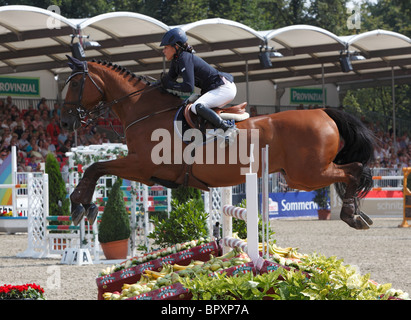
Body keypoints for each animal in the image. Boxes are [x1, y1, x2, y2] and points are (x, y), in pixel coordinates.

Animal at [59, 55, 378, 230]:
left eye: (74, 83)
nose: (64, 122)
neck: (144, 110)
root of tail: (323, 111)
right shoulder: (143, 171)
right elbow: (97, 168)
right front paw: (84, 205)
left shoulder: (142, 166)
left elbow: (96, 167)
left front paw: (79, 205)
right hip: (303, 175)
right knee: (353, 171)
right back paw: (356, 213)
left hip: (307, 174)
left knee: (355, 170)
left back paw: (351, 213)